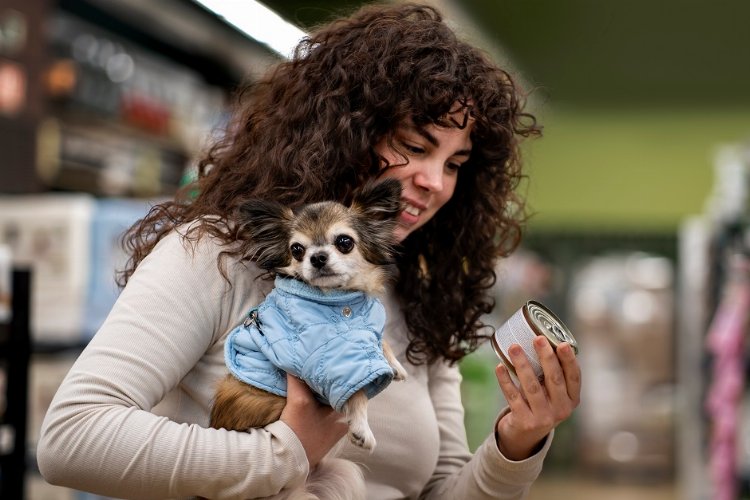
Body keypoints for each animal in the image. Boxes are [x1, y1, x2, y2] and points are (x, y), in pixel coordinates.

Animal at [212, 179, 408, 500]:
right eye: (296, 249)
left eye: (344, 242)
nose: (317, 257)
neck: (339, 301)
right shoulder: (326, 361)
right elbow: (355, 391)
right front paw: (362, 427)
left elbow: (379, 339)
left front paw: (395, 363)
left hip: (342, 474)